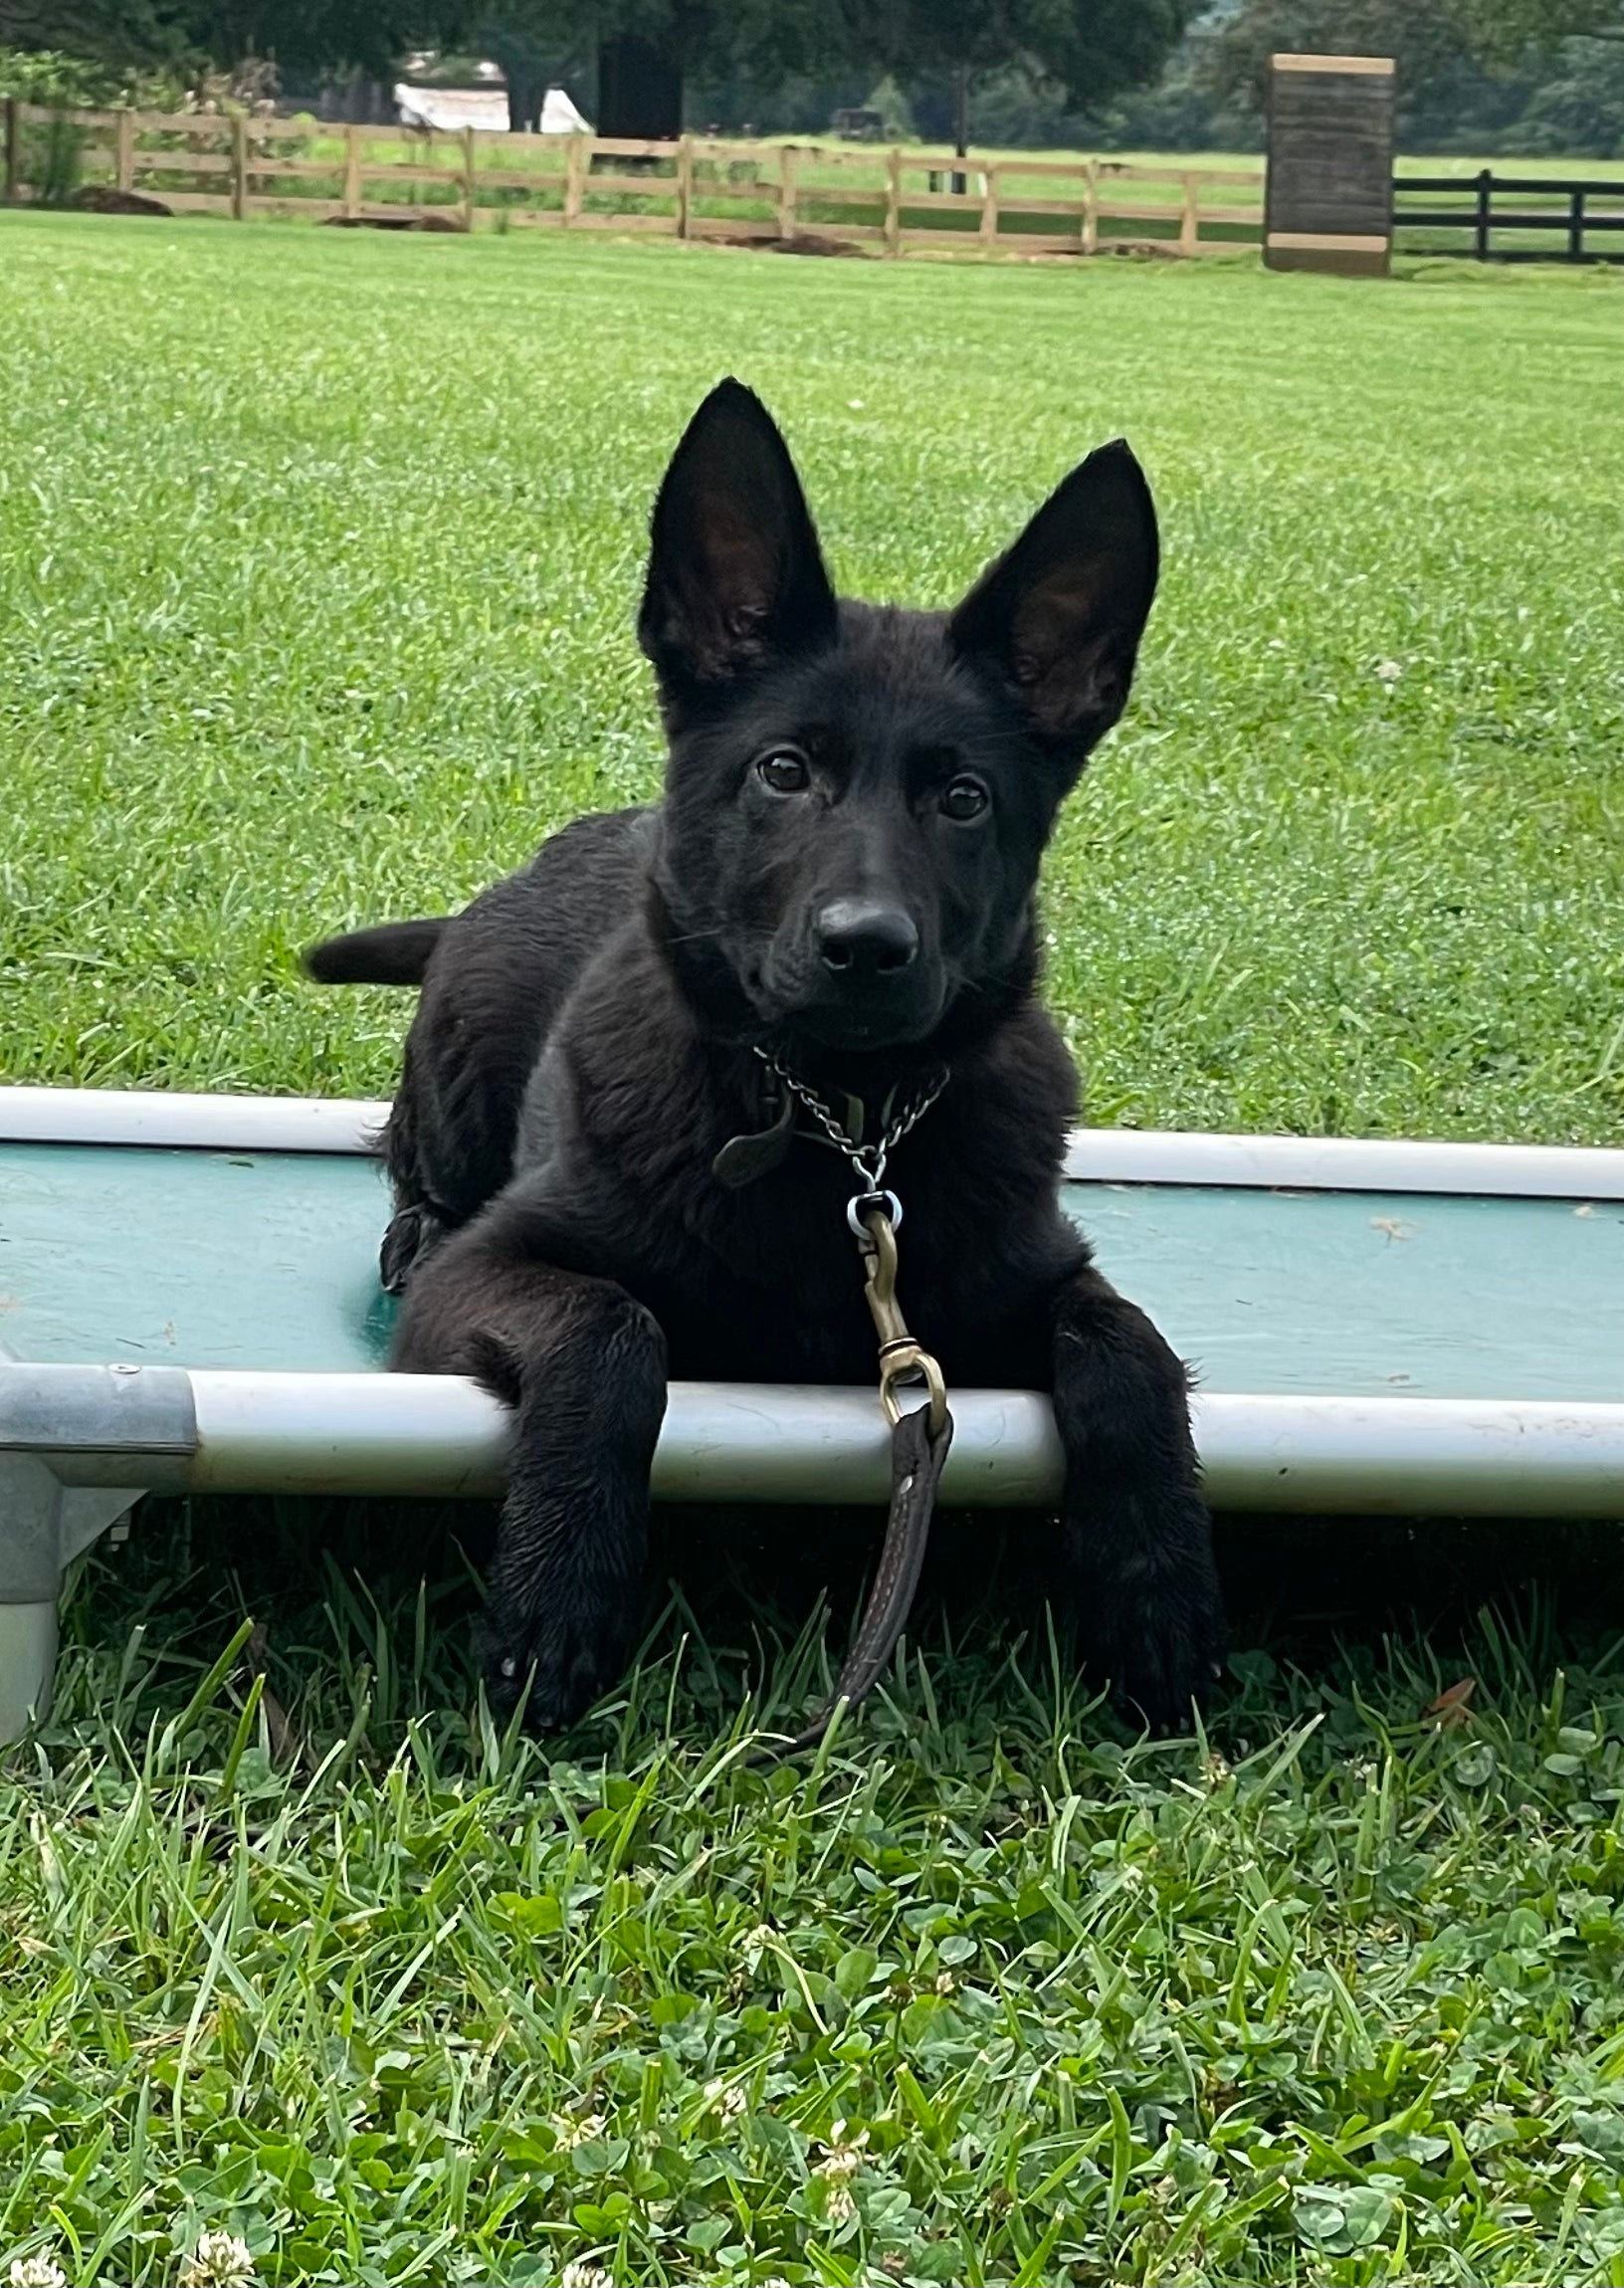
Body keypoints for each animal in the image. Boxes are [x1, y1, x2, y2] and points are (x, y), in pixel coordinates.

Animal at [306, 375, 1226, 1730]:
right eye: (784, 771)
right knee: (418, 1169)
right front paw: (559, 1593)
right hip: (463, 1045)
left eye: (964, 798)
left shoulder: (1031, 1279)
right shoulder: (491, 1280)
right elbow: (612, 1333)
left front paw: (1161, 1590)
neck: (838, 1124)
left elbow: (1132, 1352)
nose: (866, 947)